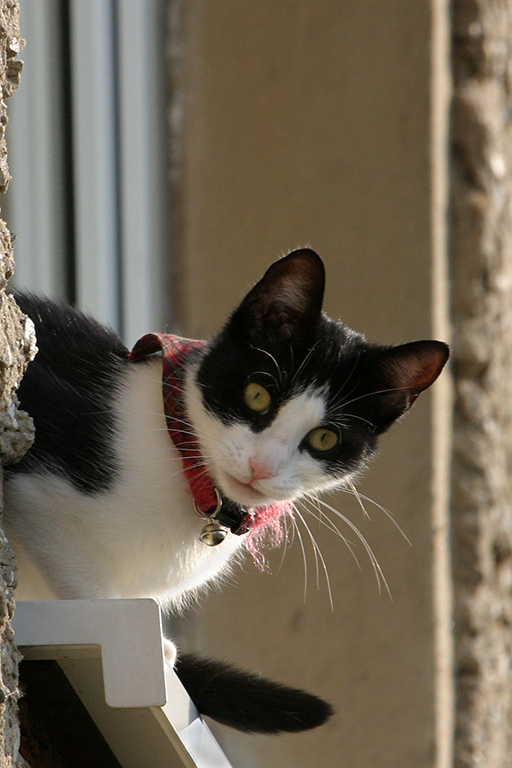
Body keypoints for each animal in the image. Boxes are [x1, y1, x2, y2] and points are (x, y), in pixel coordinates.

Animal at [4, 249, 450, 736]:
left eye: (325, 438)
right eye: (257, 395)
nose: (261, 466)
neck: (184, 460)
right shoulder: (37, 476)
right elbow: (82, 574)